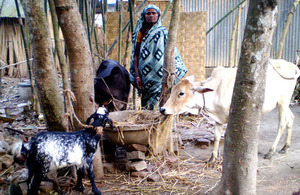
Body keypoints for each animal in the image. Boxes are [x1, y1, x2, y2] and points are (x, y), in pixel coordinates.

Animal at [161, 59, 300, 163]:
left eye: (181, 93)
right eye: (173, 90)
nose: (163, 109)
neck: (216, 90)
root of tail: (292, 65)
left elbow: (228, 137)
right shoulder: (218, 119)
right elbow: (216, 137)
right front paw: (212, 159)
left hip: (282, 102)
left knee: (282, 124)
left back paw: (271, 151)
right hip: (282, 103)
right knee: (291, 119)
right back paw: (285, 147)